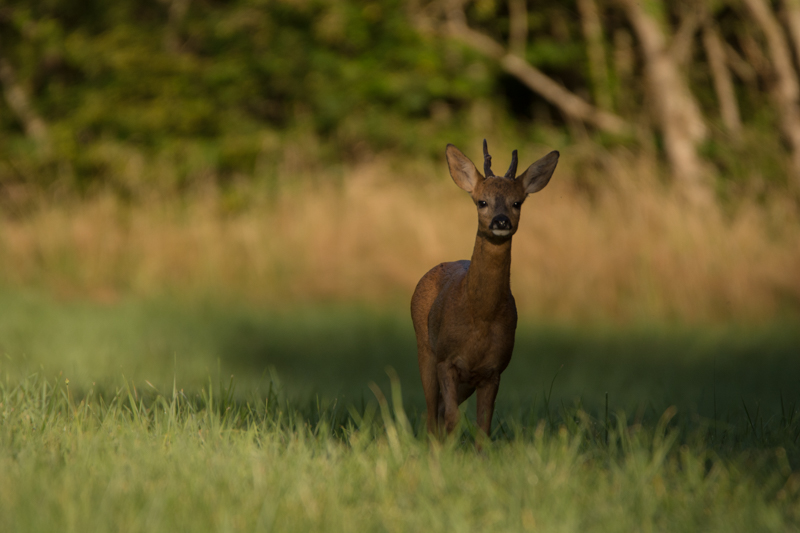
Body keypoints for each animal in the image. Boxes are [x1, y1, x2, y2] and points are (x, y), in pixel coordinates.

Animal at [410, 139, 560, 438]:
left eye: (517, 202)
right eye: (482, 201)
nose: (501, 221)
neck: (480, 316)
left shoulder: (493, 370)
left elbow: (483, 426)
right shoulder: (446, 359)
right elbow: (452, 418)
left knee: (439, 411)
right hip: (425, 349)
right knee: (432, 413)